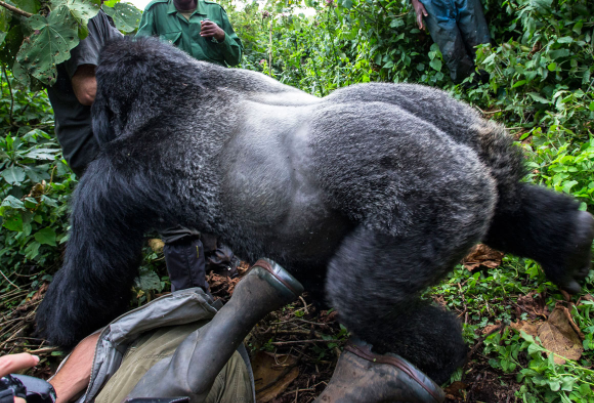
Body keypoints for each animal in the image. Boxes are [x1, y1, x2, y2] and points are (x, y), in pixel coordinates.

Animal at [36, 36, 593, 385]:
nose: (93, 121)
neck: (179, 92)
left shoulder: (110, 180)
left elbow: (92, 277)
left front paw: (54, 332)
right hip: (471, 135)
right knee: (509, 199)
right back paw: (567, 243)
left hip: (437, 194)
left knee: (363, 297)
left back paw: (438, 357)